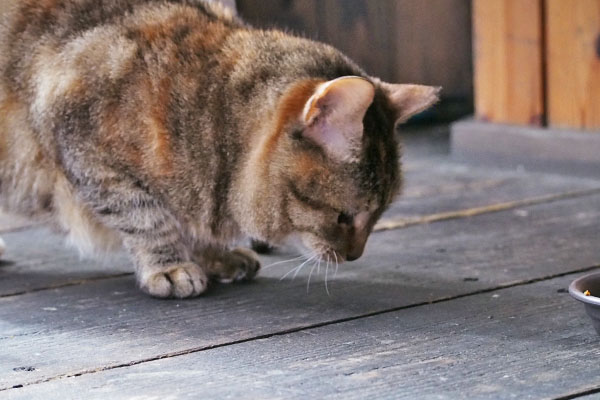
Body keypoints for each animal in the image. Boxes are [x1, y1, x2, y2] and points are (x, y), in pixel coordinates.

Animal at [0, 0, 440, 296]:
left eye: (378, 215)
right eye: (345, 217)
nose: (354, 257)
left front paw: (213, 255)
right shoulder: (85, 147)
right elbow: (145, 216)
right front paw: (171, 266)